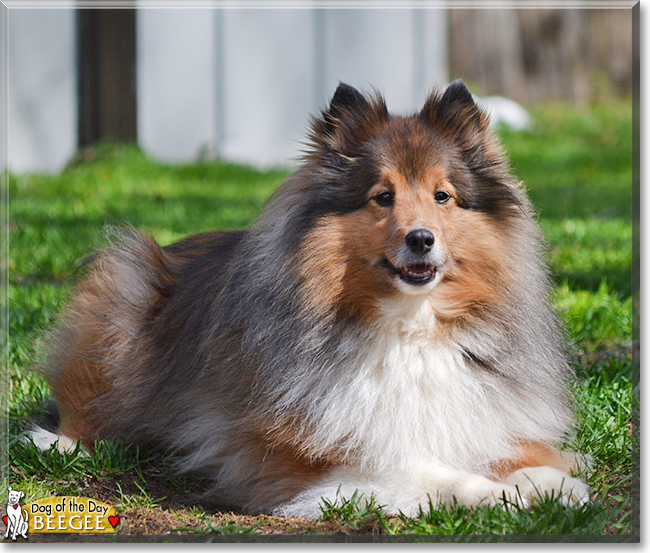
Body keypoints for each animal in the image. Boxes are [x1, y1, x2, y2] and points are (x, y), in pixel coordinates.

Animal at [30, 80, 588, 516]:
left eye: (442, 196)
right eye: (383, 196)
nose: (421, 239)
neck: (409, 328)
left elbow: (517, 449)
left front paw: (551, 482)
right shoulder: (300, 457)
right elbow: (421, 469)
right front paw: (493, 493)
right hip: (122, 289)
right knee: (84, 408)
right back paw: (59, 442)